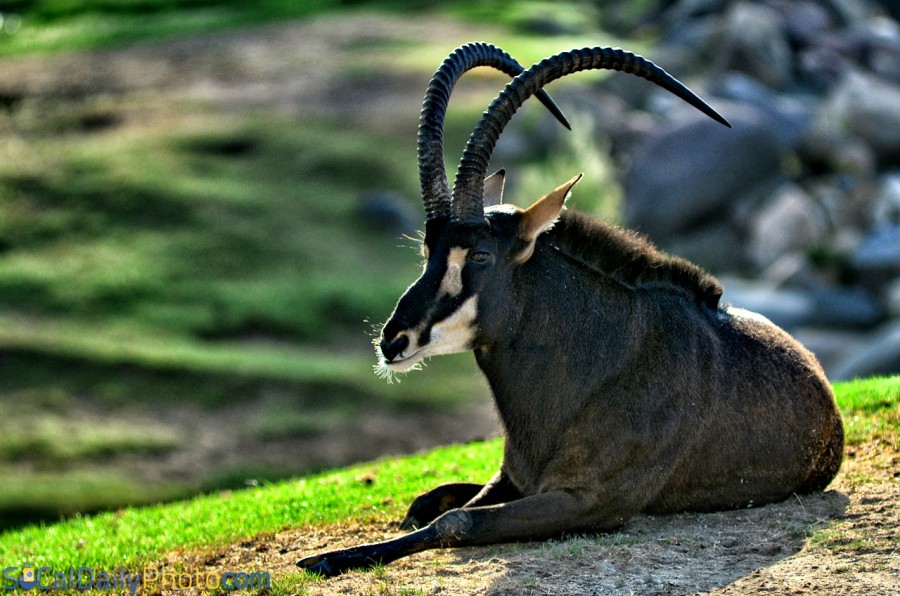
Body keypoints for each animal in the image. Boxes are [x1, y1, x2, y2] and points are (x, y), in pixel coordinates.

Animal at [297, 43, 844, 577]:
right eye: (427, 249)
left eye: (480, 254)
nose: (394, 340)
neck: (600, 361)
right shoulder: (511, 479)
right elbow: (444, 505)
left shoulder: (589, 501)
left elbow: (459, 521)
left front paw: (327, 559)